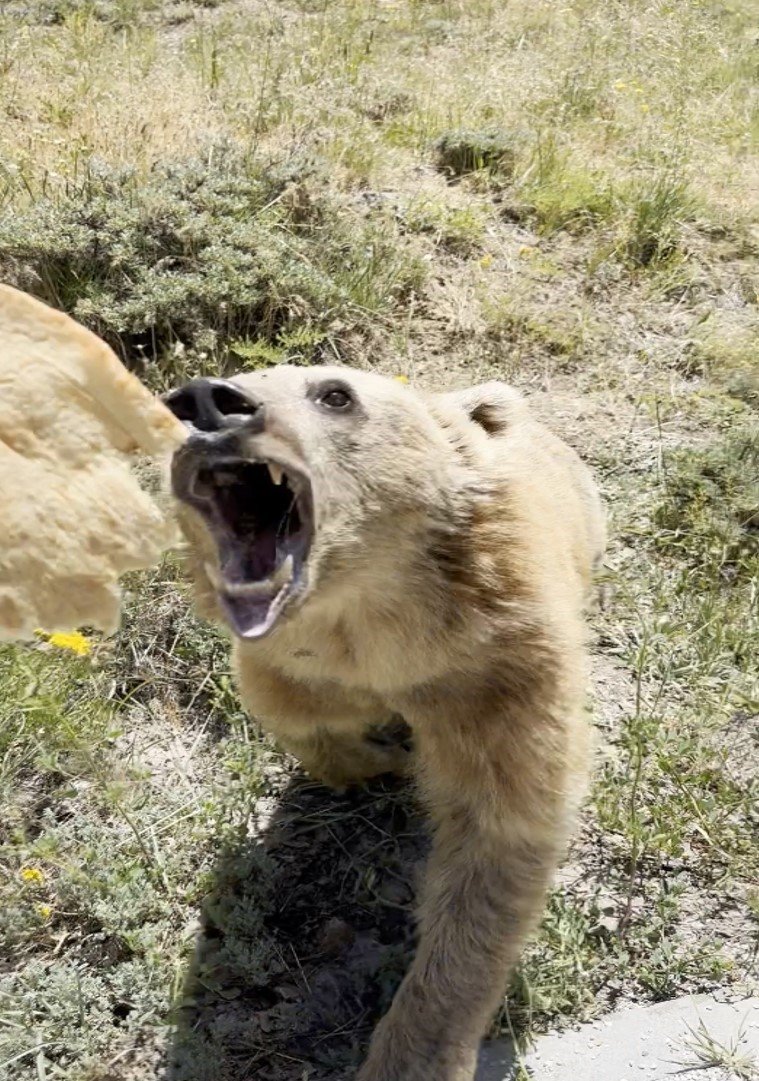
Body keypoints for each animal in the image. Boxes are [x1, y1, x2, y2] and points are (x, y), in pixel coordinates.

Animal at [165, 365, 605, 1081]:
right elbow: (289, 707)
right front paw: (377, 761)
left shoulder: (499, 673)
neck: (374, 624)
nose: (205, 403)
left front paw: (411, 1051)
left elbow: (496, 836)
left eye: (335, 393)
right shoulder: (297, 662)